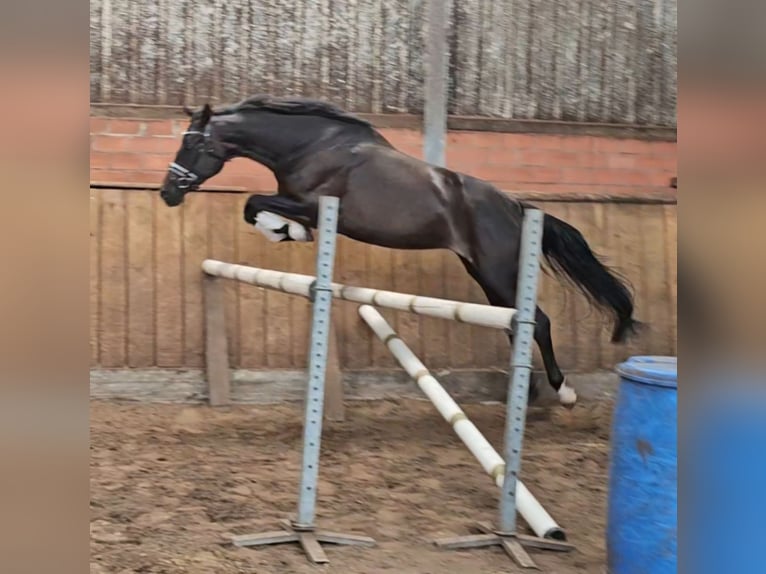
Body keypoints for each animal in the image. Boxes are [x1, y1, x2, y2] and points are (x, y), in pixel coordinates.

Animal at [160, 95, 640, 410]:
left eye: (193, 145)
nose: (168, 193)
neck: (314, 146)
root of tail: (517, 208)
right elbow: (255, 207)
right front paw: (287, 231)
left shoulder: (315, 205)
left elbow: (254, 203)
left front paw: (284, 230)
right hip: (484, 275)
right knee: (518, 325)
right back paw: (532, 393)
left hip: (498, 272)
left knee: (538, 322)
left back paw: (563, 391)